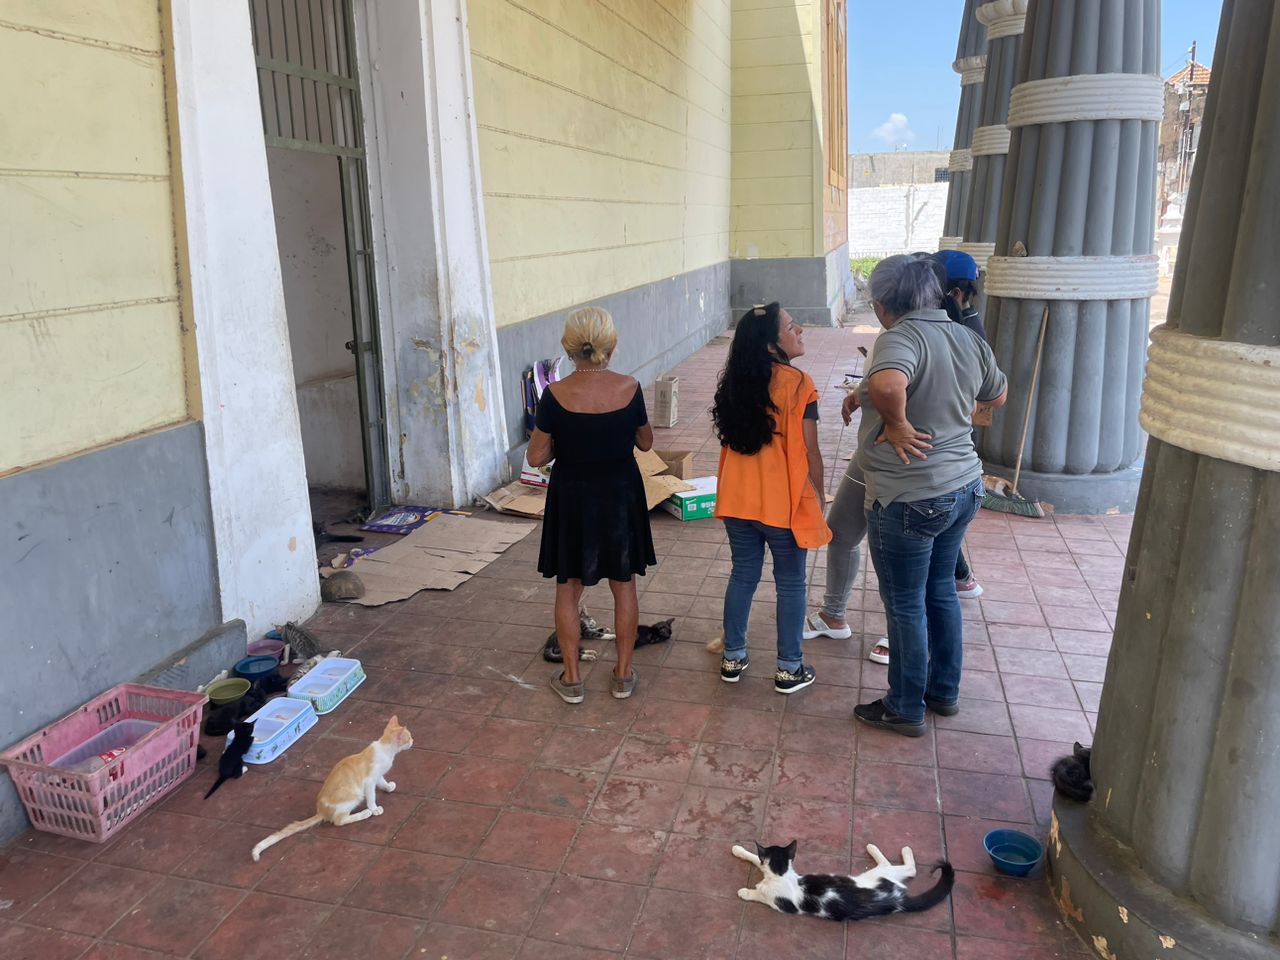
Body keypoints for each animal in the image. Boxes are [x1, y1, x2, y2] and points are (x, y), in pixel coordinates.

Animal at [248, 716, 409, 865]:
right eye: (409, 738)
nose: (413, 741)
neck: (386, 749)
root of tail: (322, 811)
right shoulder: (369, 781)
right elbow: (371, 796)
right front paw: (374, 808)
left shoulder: (378, 776)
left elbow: (382, 781)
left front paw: (388, 787)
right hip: (354, 796)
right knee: (339, 821)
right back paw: (364, 813)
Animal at [737, 839, 957, 926]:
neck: (780, 875)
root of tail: (898, 900)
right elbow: (755, 859)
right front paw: (738, 850)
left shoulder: (781, 903)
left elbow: (759, 894)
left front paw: (745, 892)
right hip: (882, 876)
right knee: (910, 869)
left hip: (877, 874)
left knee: (898, 866)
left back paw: (876, 848)